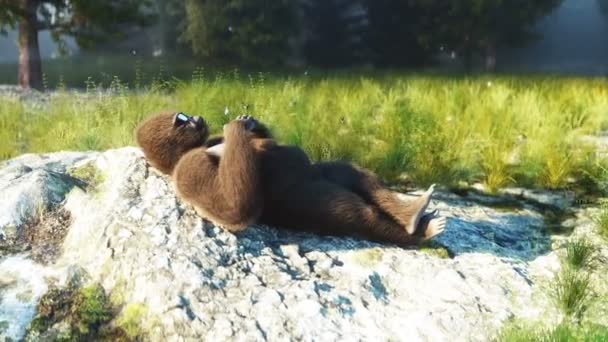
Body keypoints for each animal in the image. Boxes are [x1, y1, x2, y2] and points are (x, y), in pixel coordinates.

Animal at [135, 111, 444, 246]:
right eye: (181, 120)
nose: (197, 117)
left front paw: (250, 125)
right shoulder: (190, 167)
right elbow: (236, 208)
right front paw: (236, 126)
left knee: (349, 173)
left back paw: (415, 213)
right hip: (309, 203)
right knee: (358, 216)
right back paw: (420, 230)